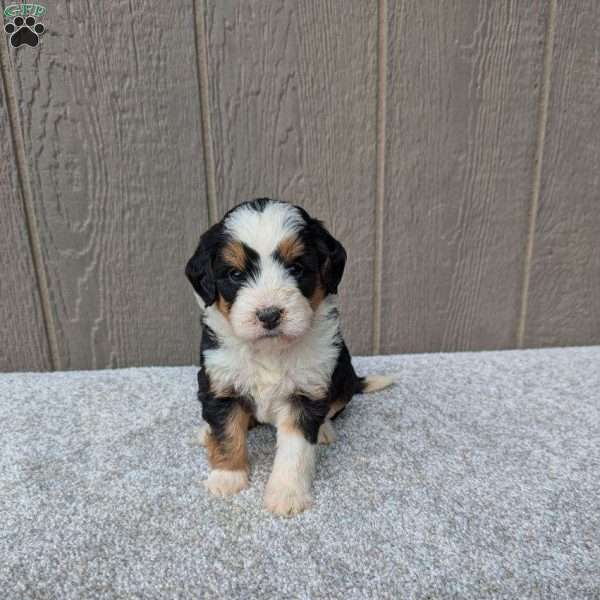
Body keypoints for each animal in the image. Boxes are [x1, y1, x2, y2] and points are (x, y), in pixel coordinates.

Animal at [188, 198, 394, 516]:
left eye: (296, 268)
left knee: (334, 407)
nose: (269, 315)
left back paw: (325, 431)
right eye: (235, 274)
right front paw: (227, 477)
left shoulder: (306, 392)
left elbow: (295, 451)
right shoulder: (220, 381)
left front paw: (286, 494)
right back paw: (206, 432)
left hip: (343, 376)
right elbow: (226, 433)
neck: (270, 350)